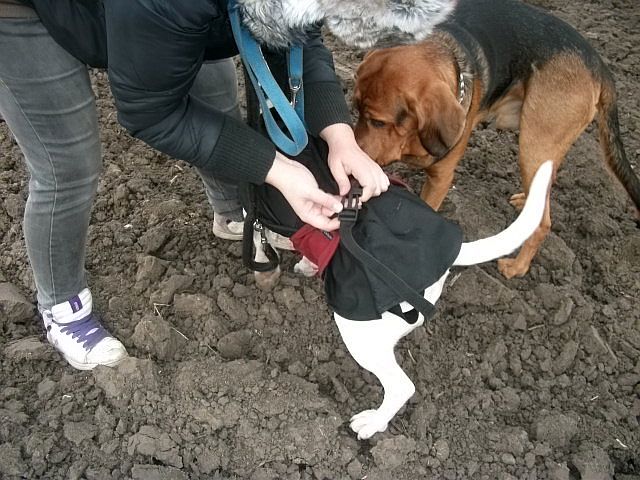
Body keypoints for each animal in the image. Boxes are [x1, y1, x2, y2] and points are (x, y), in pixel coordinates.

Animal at [352, 0, 636, 280]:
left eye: (378, 122)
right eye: (355, 109)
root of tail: (598, 65)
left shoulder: (440, 179)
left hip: (534, 142)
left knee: (543, 222)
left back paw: (517, 267)